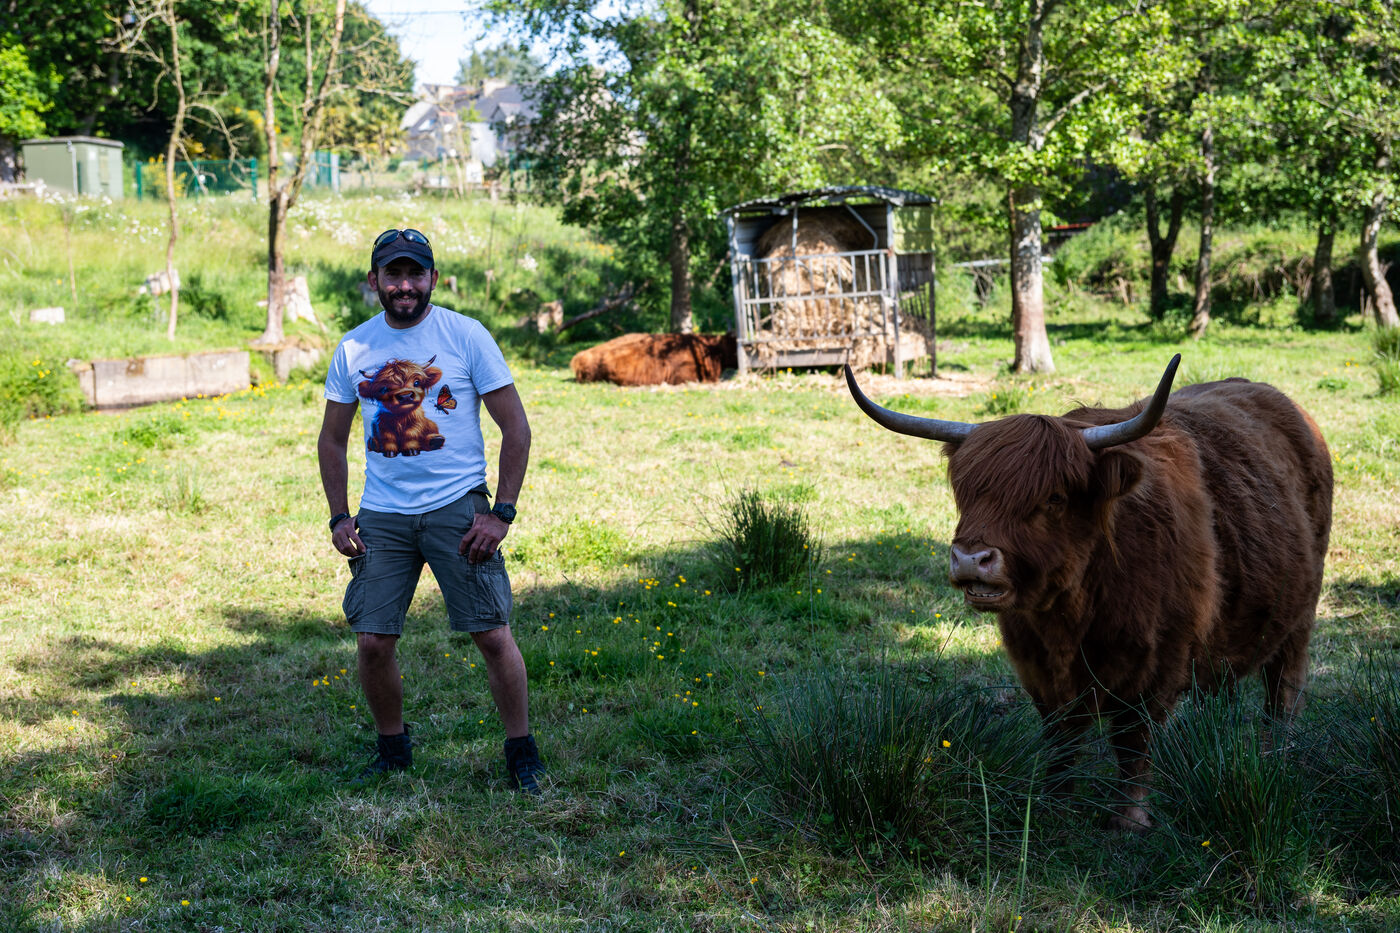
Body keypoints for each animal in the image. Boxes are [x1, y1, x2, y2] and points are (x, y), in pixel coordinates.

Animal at [845, 355, 1333, 831]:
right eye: (965, 492)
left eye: (1054, 498)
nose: (970, 559)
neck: (1071, 612)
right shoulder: (1036, 666)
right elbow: (1061, 736)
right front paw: (1053, 802)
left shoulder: (1160, 661)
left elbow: (1133, 739)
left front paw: (1130, 819)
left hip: (1300, 618)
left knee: (1284, 689)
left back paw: (1275, 755)